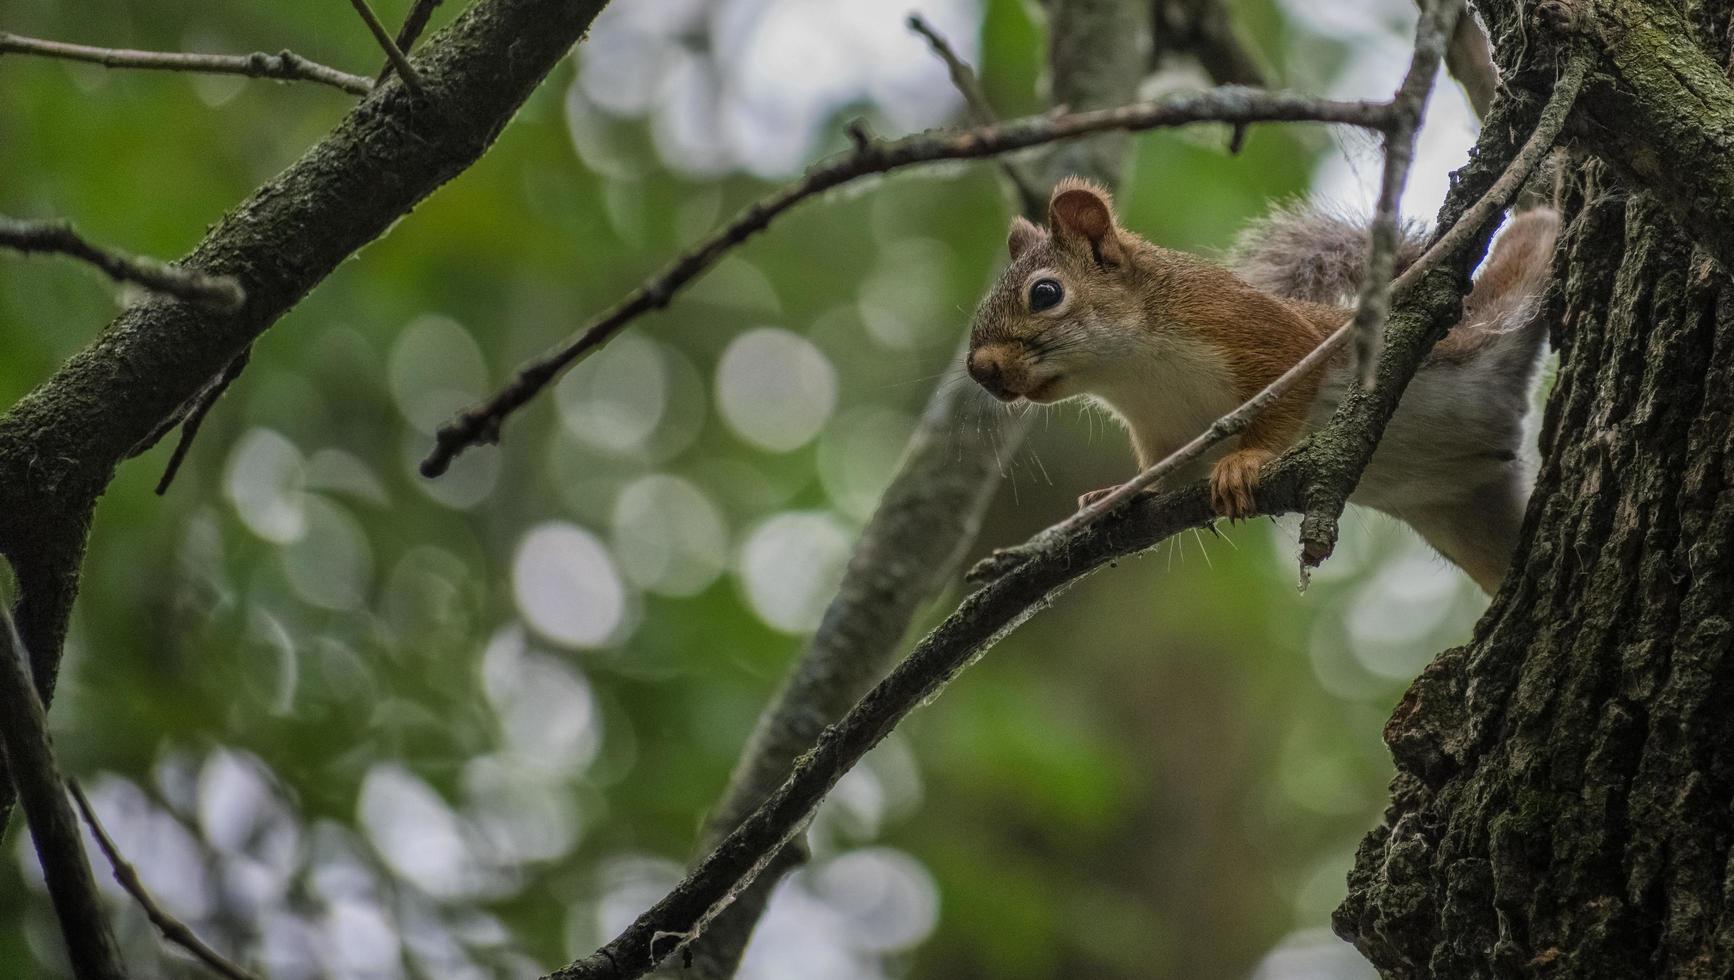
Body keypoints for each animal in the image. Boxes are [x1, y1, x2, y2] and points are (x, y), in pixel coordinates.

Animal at [964, 176, 1560, 593]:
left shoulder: (1263, 333)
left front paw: (1245, 462)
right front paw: (1115, 495)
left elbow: (1285, 399)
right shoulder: (1166, 433)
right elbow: (1163, 472)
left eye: (1045, 293)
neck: (1136, 373)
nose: (981, 370)